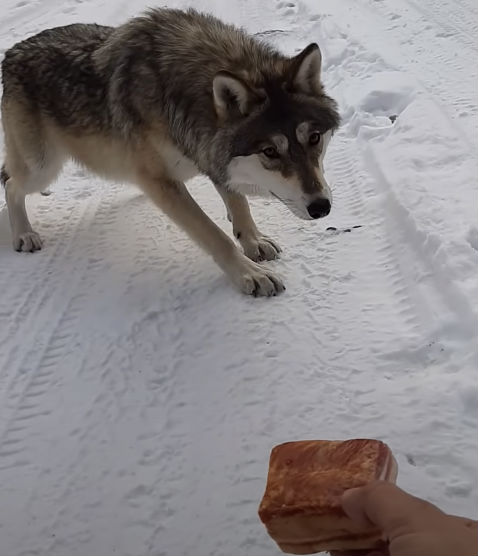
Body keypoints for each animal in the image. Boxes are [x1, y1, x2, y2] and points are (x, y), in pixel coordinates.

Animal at [0, 7, 340, 296]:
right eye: (270, 151)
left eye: (314, 138)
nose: (321, 208)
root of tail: (11, 53)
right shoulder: (162, 181)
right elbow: (213, 233)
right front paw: (249, 274)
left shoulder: (206, 152)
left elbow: (238, 202)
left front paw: (253, 240)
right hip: (43, 167)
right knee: (11, 184)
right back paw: (24, 235)